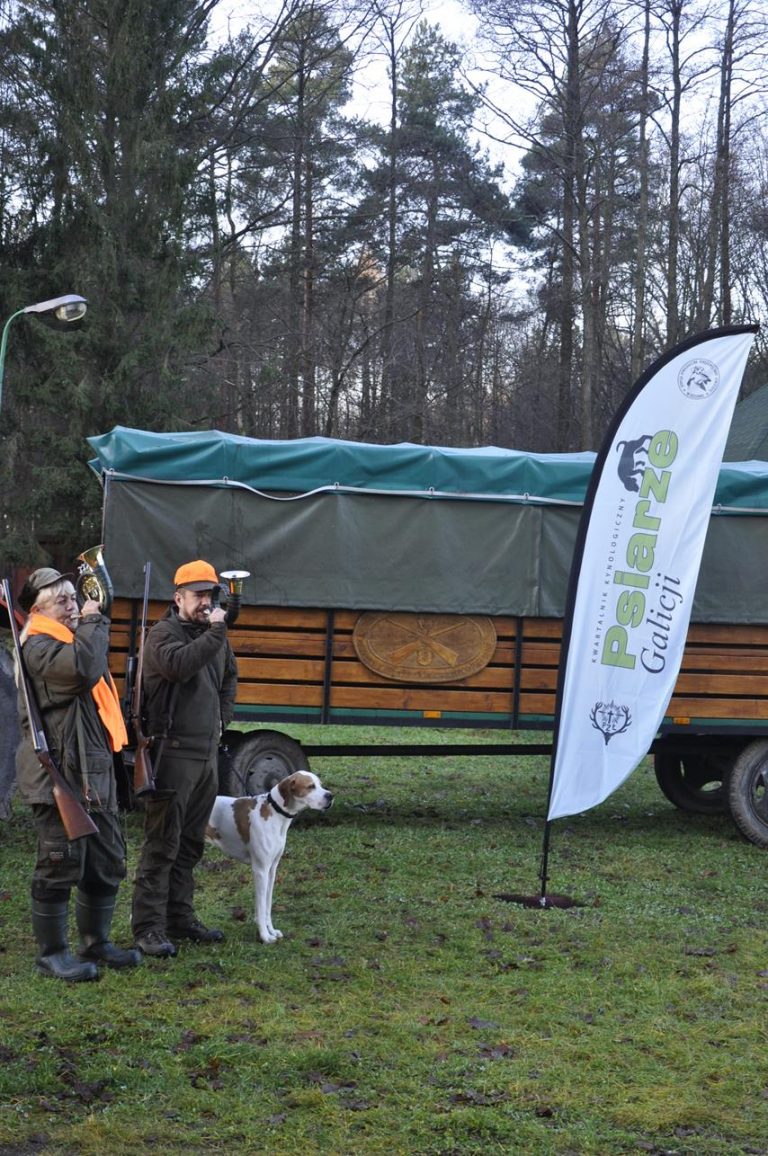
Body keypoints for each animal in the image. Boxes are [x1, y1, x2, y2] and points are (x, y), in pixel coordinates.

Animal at [205, 772, 335, 943]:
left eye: (320, 784)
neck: (275, 813)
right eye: (310, 786)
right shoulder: (260, 870)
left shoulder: (272, 870)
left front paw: (271, 930)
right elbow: (260, 908)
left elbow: (267, 906)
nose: (330, 795)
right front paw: (265, 936)